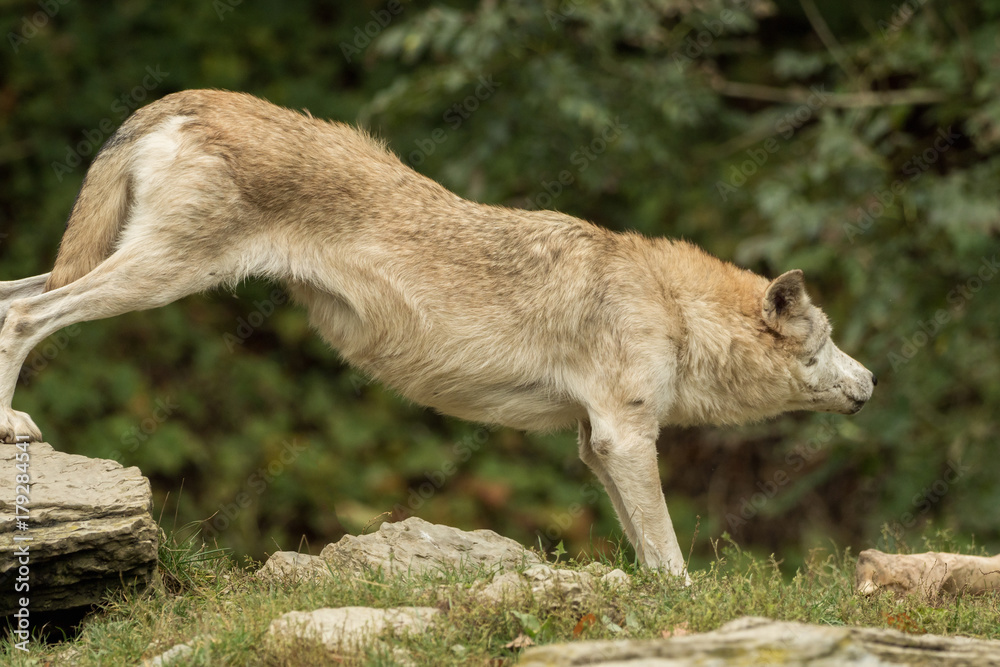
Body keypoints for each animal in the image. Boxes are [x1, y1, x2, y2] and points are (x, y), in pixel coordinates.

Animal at [0, 90, 876, 576]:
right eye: (825, 341)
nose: (871, 382)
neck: (672, 308)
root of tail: (183, 99)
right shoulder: (626, 437)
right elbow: (672, 555)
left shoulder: (597, 446)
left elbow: (646, 552)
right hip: (156, 277)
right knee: (23, 314)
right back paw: (13, 427)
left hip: (126, 267)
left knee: (12, 293)